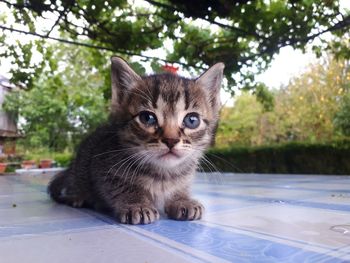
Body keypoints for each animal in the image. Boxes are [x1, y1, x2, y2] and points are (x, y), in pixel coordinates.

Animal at [47, 57, 224, 225]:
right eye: (147, 118)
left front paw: (181, 200)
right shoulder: (102, 166)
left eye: (192, 120)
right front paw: (136, 204)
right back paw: (76, 197)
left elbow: (180, 186)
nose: (171, 140)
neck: (163, 174)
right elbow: (122, 186)